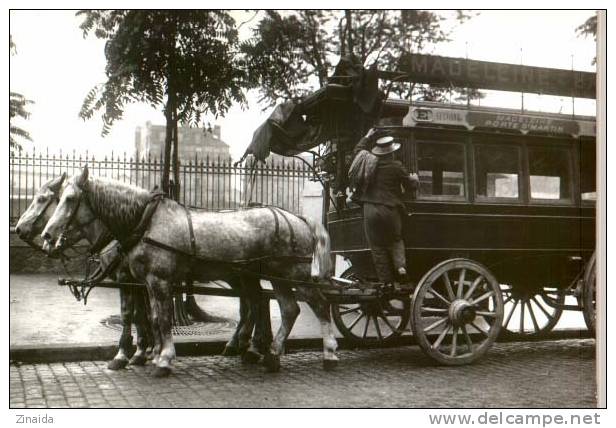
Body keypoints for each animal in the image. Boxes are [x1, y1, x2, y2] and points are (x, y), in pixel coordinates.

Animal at [42, 166, 342, 376]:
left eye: (70, 199)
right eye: (57, 198)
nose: (47, 236)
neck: (144, 222)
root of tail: (298, 218)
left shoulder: (158, 281)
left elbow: (160, 319)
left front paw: (161, 359)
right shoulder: (143, 282)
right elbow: (150, 317)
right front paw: (147, 354)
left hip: (295, 274)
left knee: (319, 305)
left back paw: (328, 353)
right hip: (269, 276)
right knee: (284, 308)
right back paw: (270, 354)